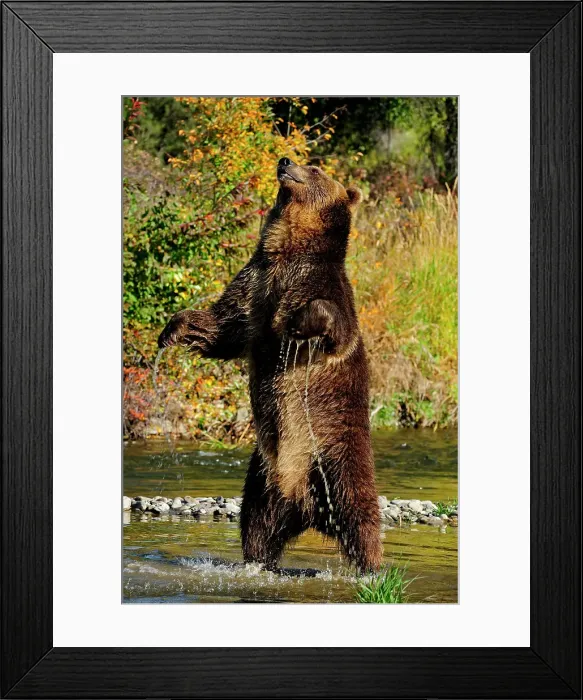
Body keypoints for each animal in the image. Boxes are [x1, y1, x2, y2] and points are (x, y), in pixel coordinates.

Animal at [158, 157, 382, 573]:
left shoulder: (316, 282)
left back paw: (373, 568)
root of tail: (304, 504)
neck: (289, 250)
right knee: (256, 525)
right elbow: (225, 326)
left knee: (360, 515)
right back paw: (257, 561)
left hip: (335, 457)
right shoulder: (256, 283)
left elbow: (332, 322)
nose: (285, 161)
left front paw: (296, 323)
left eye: (315, 167)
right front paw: (174, 328)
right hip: (263, 478)